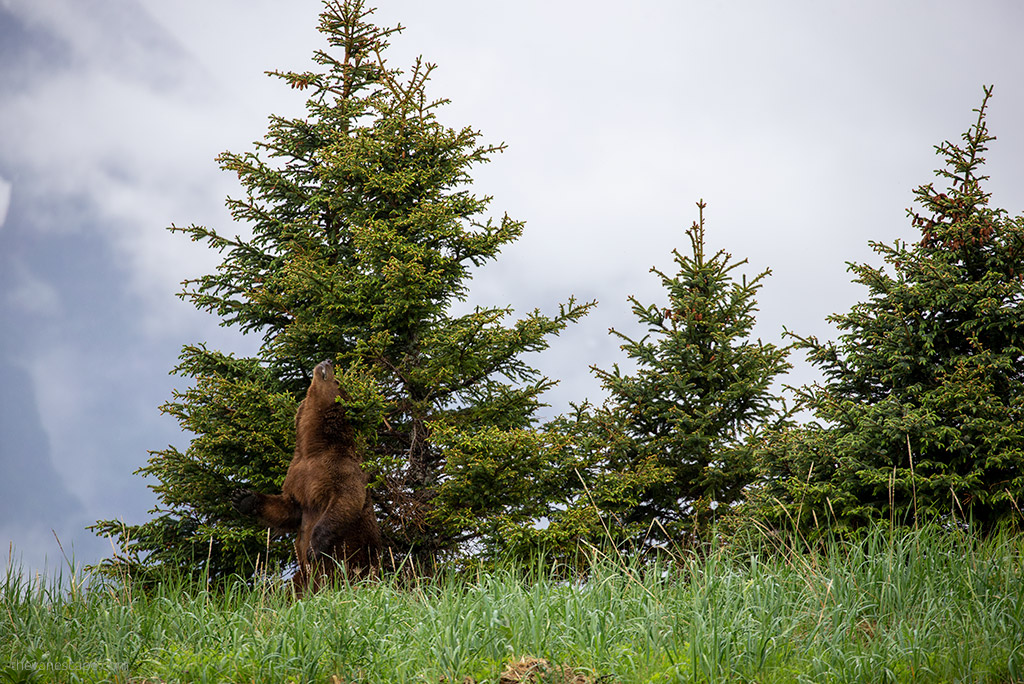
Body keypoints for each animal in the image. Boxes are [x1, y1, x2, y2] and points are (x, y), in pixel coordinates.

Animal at [233, 359, 381, 591]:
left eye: (336, 381)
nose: (328, 361)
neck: (313, 447)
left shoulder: (340, 470)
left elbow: (346, 500)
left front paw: (313, 546)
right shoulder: (297, 475)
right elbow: (289, 507)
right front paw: (243, 497)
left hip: (357, 563)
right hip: (302, 577)